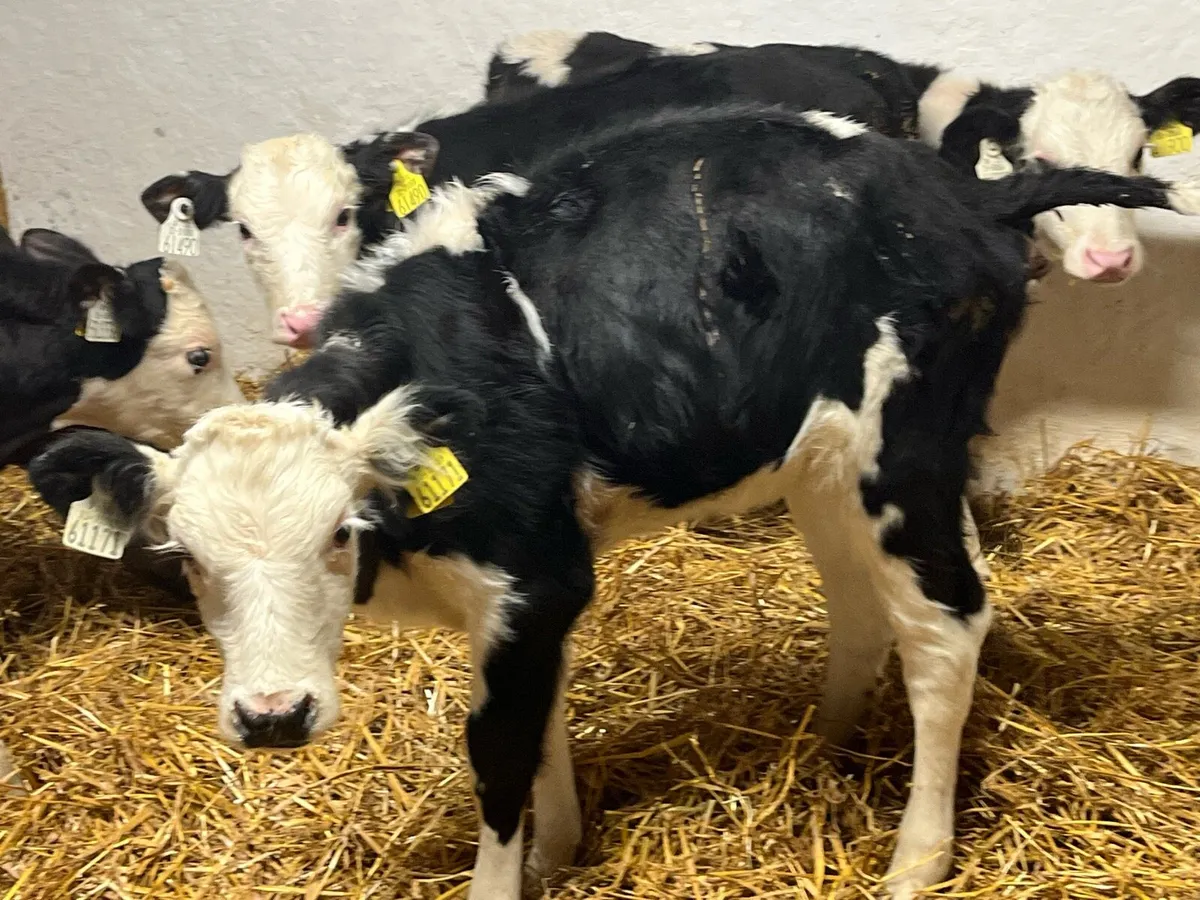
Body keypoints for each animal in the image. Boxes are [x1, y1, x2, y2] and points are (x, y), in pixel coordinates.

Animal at [30, 105, 1200, 898]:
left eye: (336, 536)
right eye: (186, 558)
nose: (273, 717)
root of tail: (962, 190)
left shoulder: (536, 574)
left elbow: (500, 751)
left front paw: (519, 867)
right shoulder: (526, 598)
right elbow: (539, 722)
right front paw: (560, 850)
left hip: (901, 450)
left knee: (947, 622)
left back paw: (917, 857)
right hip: (822, 458)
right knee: (864, 600)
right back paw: (821, 744)